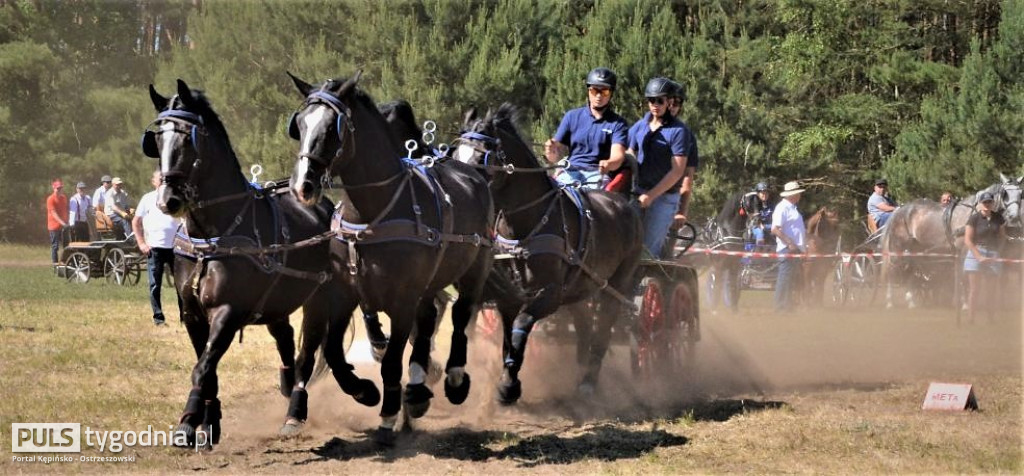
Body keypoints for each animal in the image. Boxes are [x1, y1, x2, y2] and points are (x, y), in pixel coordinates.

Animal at [142, 79, 378, 446]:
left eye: (188, 138)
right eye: (158, 139)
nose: (169, 199)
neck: (212, 234)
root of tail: (326, 205)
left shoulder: (227, 312)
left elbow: (203, 367)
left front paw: (191, 421)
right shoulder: (193, 315)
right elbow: (207, 368)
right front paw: (206, 420)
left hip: (319, 297)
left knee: (309, 350)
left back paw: (300, 407)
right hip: (276, 301)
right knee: (286, 336)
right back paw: (288, 383)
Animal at [286, 72, 493, 444]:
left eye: (333, 128)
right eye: (301, 123)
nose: (302, 186)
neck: (373, 213)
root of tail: (474, 175)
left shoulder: (403, 298)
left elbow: (392, 359)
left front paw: (388, 413)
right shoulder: (344, 291)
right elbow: (336, 351)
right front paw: (365, 391)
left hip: (475, 269)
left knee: (460, 316)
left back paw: (453, 378)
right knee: (428, 320)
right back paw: (417, 389)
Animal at [456, 104, 638, 405]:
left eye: (483, 155)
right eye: (455, 151)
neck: (527, 223)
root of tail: (625, 204)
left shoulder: (550, 294)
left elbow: (520, 326)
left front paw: (508, 387)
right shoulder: (508, 294)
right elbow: (508, 338)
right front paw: (508, 382)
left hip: (617, 285)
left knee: (603, 330)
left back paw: (588, 383)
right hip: (579, 289)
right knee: (585, 326)